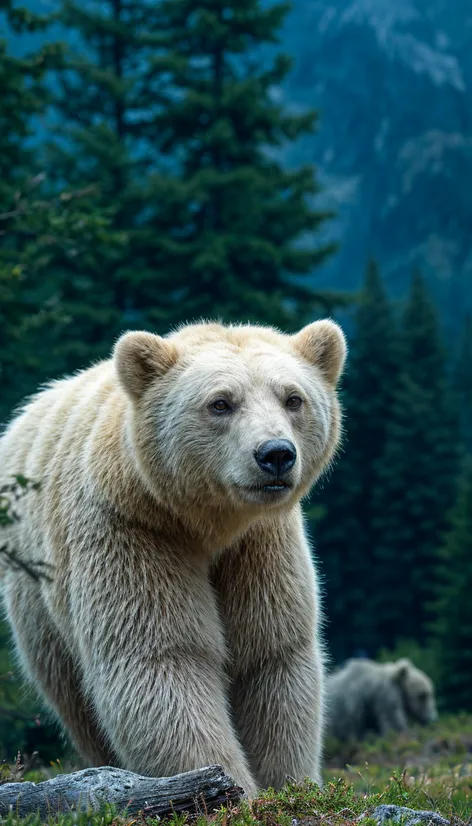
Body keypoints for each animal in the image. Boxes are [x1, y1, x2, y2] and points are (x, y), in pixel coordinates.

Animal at [0, 318, 346, 792]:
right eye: (221, 403)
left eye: (293, 398)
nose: (275, 454)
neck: (208, 524)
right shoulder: (132, 529)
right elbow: (162, 655)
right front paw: (225, 783)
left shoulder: (262, 544)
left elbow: (271, 654)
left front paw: (288, 783)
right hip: (36, 591)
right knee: (73, 697)